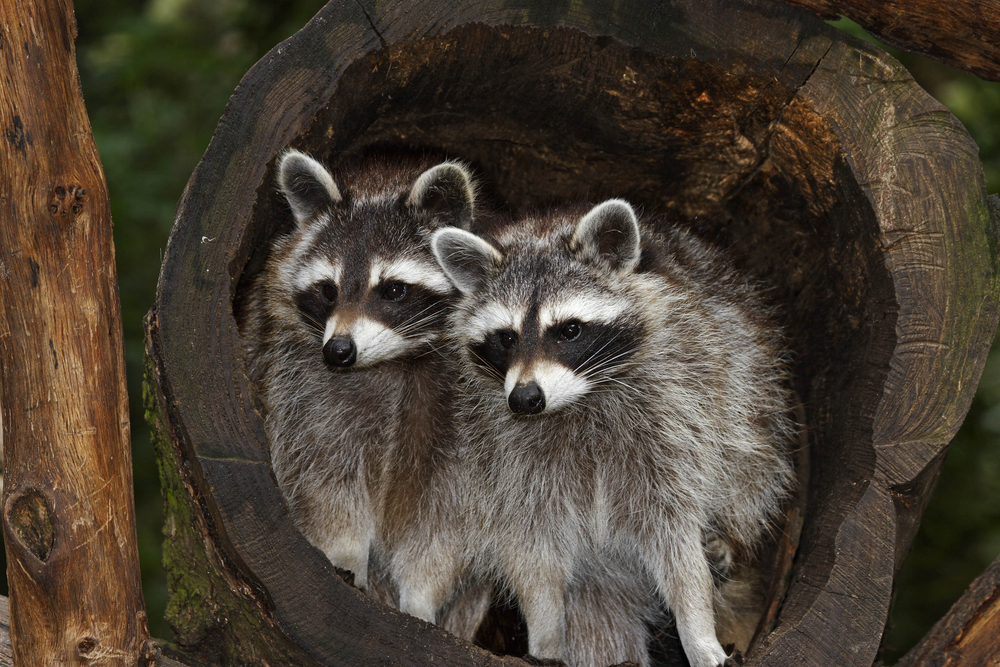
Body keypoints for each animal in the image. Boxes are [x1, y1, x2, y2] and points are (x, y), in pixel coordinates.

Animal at [241, 149, 487, 635]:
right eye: (327, 290)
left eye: (393, 290)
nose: (339, 351)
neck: (395, 361)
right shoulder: (302, 384)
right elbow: (324, 480)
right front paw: (344, 555)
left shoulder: (468, 421)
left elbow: (446, 519)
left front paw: (421, 597)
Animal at [430, 200, 795, 667]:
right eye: (506, 338)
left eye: (569, 330)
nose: (526, 399)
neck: (579, 400)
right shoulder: (503, 456)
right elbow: (530, 548)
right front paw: (545, 634)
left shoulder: (677, 417)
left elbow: (676, 538)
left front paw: (698, 630)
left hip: (749, 378)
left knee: (751, 460)